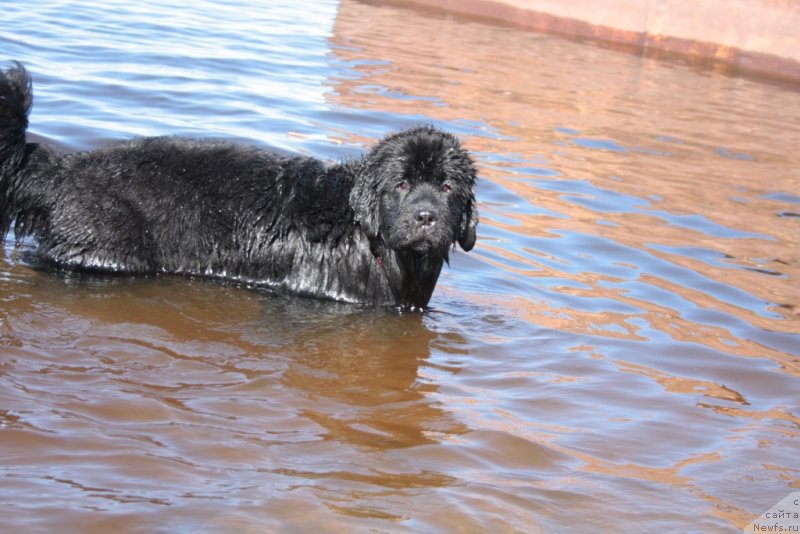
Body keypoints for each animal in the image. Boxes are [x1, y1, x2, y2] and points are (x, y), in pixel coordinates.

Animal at [0, 62, 478, 312]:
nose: (425, 217)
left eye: (447, 189)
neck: (368, 239)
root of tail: (66, 168)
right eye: (401, 184)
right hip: (107, 249)